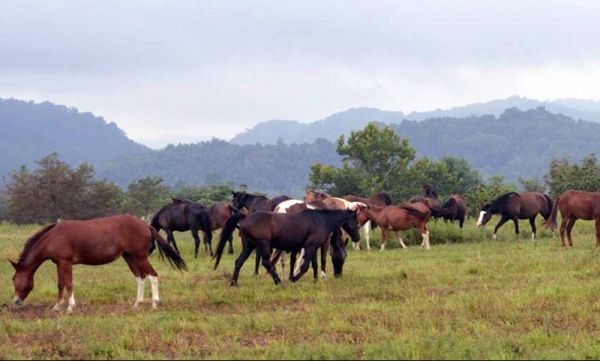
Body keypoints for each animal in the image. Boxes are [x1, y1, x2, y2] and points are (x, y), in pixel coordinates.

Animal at [9, 214, 188, 312]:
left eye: (14, 279)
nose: (16, 301)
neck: (54, 237)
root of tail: (146, 225)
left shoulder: (65, 263)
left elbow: (69, 284)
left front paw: (70, 307)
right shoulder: (59, 263)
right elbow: (60, 284)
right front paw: (56, 307)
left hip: (140, 257)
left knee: (152, 275)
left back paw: (154, 304)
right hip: (130, 258)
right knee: (140, 278)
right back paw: (137, 304)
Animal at [213, 208, 358, 286]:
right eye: (355, 221)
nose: (357, 238)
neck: (320, 220)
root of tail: (245, 217)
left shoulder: (313, 247)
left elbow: (315, 264)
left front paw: (315, 280)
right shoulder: (310, 247)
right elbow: (305, 266)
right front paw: (293, 279)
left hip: (249, 246)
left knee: (239, 261)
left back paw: (234, 283)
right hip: (263, 244)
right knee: (266, 262)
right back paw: (278, 281)